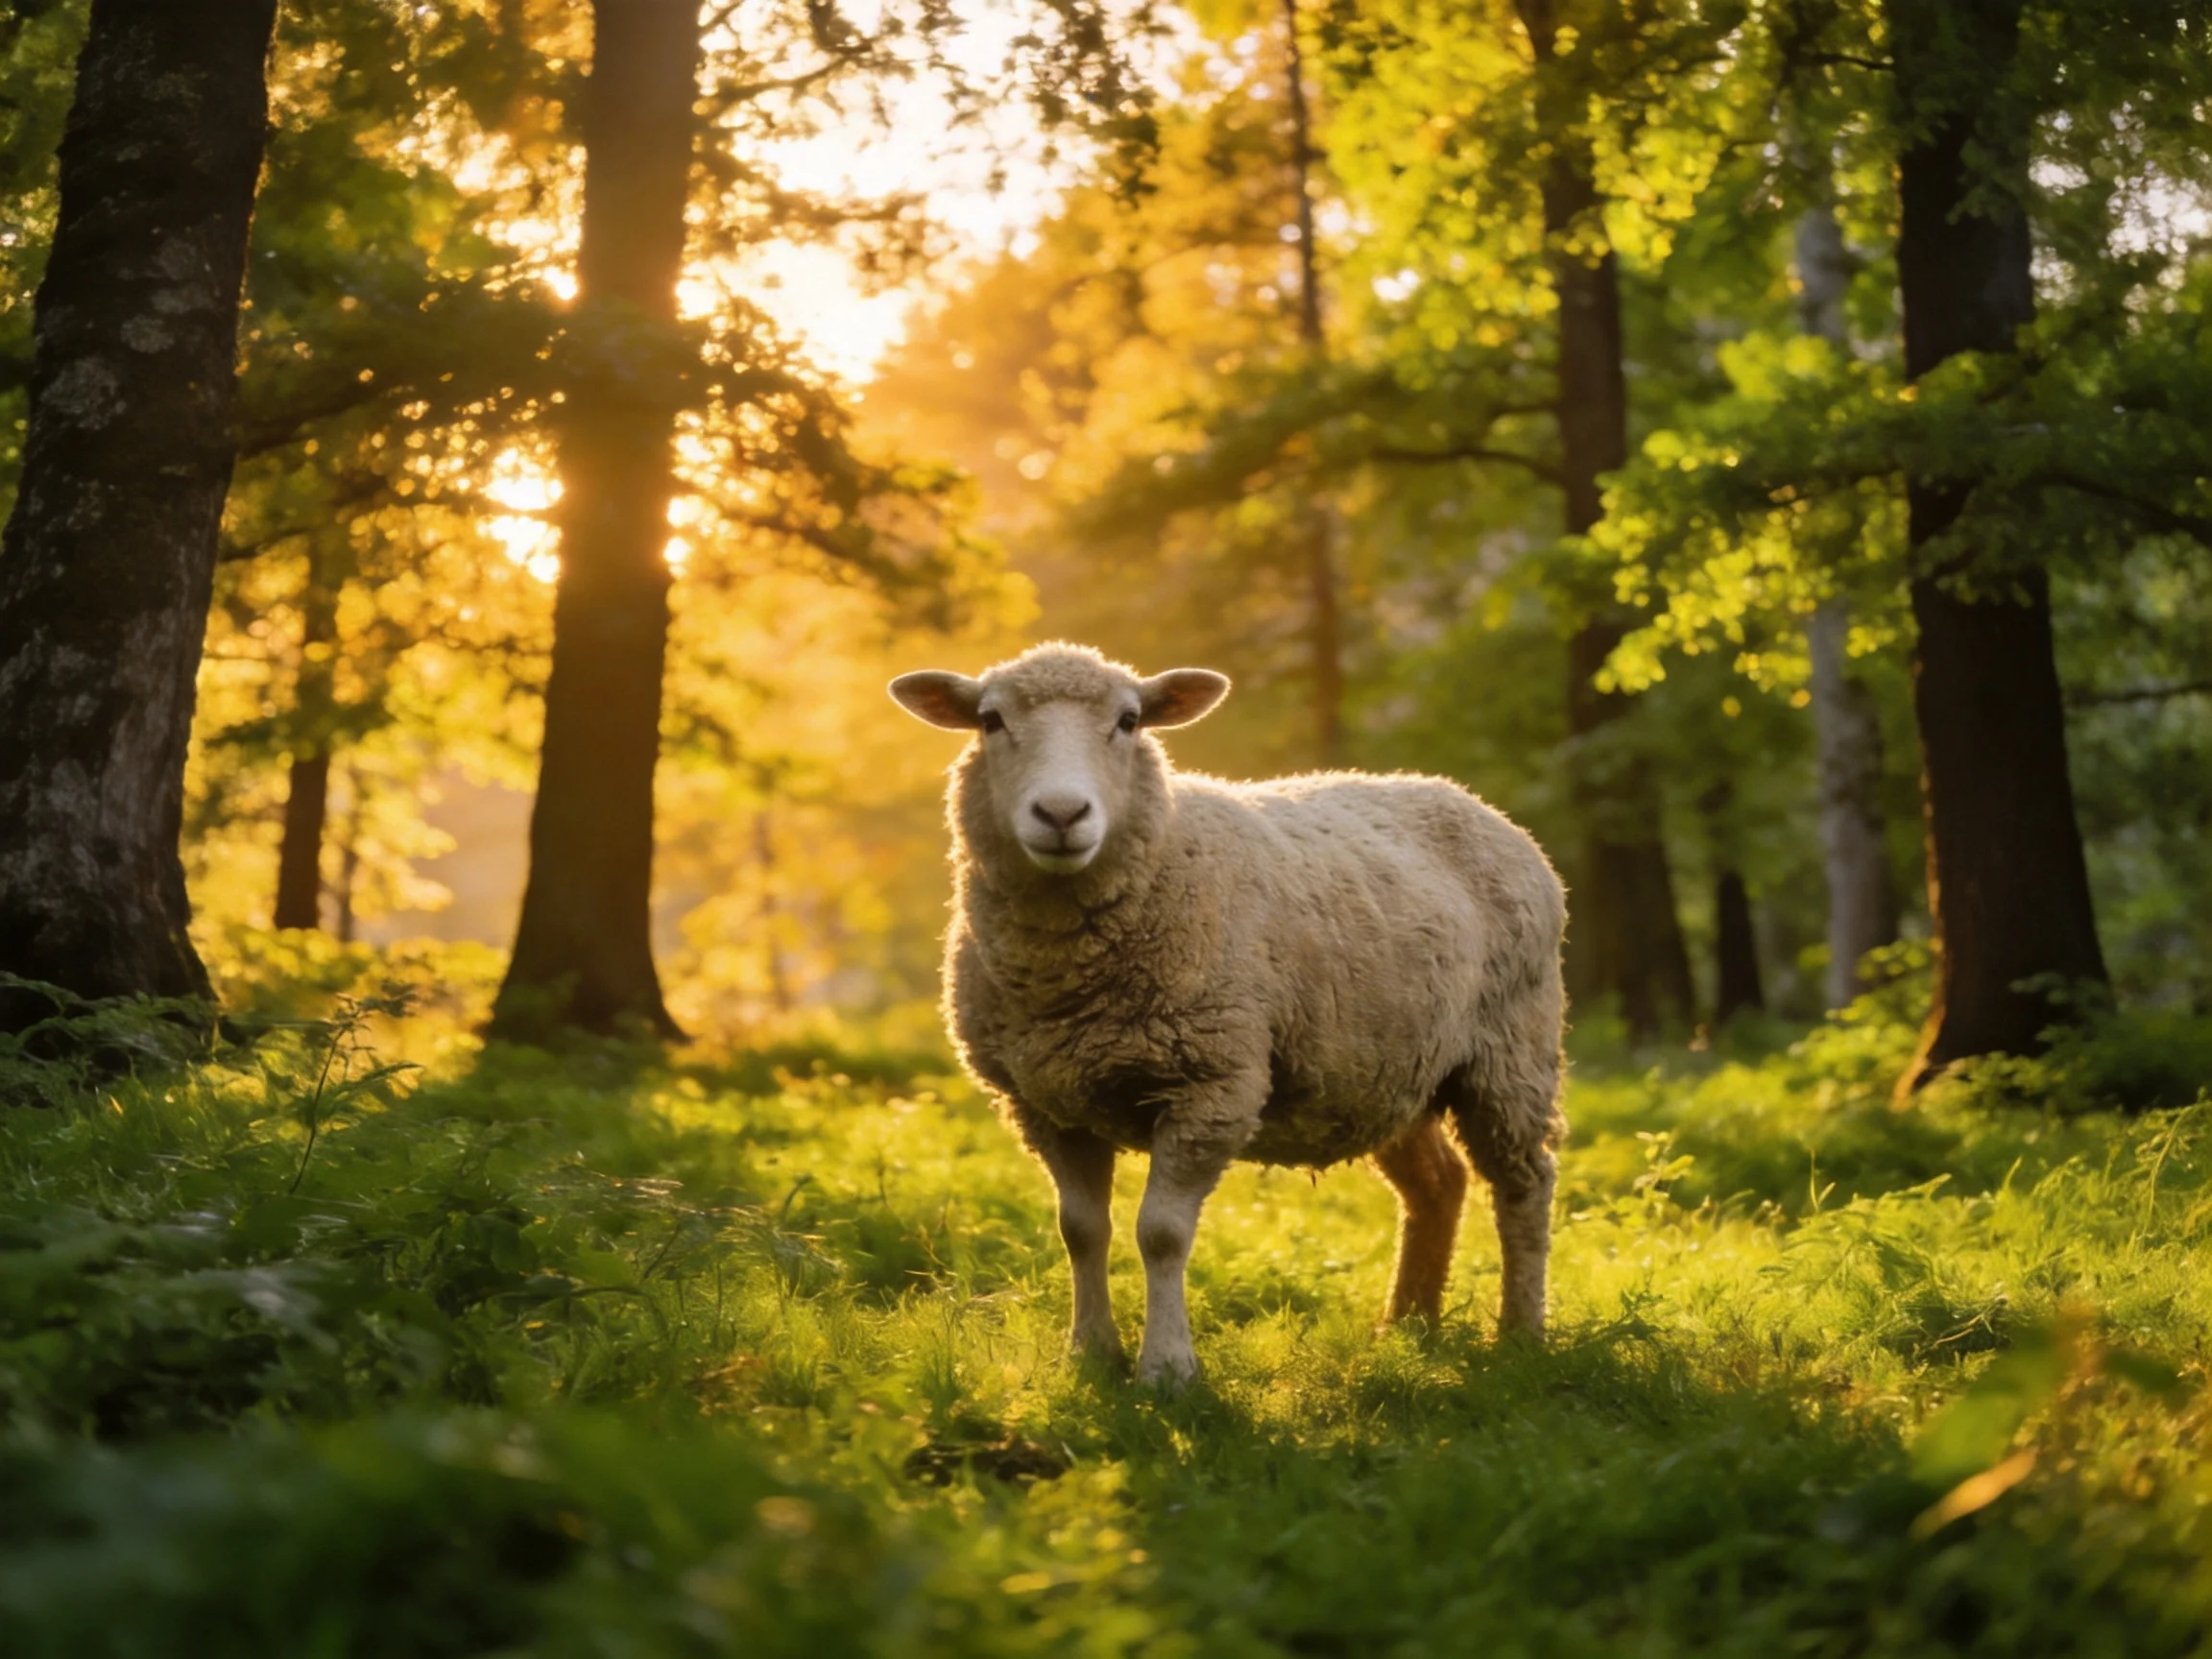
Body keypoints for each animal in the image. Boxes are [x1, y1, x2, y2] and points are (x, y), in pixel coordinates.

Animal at [890, 642, 1567, 1385]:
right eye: (990, 720)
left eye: (1129, 721)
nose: (1062, 814)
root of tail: (1471, 801)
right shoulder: (1045, 1104)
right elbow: (1081, 1230)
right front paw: (1091, 1355)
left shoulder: (1210, 1084)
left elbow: (1161, 1233)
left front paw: (1167, 1369)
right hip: (1388, 1069)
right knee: (1437, 1186)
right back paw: (1407, 1327)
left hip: (1511, 1050)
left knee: (1524, 1183)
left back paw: (1520, 1333)